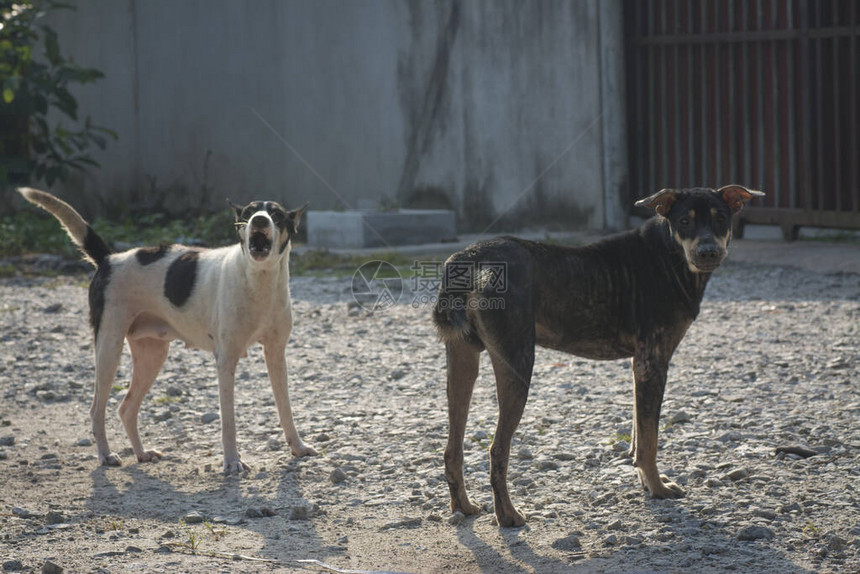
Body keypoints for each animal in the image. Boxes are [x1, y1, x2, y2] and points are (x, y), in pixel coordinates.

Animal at [18, 187, 316, 474]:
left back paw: (141, 453)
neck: (258, 280)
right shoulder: (226, 361)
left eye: (276, 215)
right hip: (108, 349)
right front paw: (232, 462)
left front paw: (297, 446)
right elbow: (228, 421)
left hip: (152, 356)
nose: (260, 221)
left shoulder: (276, 354)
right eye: (249, 213)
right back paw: (105, 455)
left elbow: (286, 408)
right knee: (96, 410)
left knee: (126, 408)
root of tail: (109, 259)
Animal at [434, 184, 764, 528]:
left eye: (721, 219)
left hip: (461, 362)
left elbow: (639, 432)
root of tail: (469, 259)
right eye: (684, 221)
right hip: (518, 363)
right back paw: (508, 515)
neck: (670, 254)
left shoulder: (639, 366)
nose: (708, 252)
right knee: (497, 449)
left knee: (452, 448)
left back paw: (463, 506)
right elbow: (650, 439)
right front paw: (657, 488)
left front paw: (646, 481)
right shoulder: (653, 363)